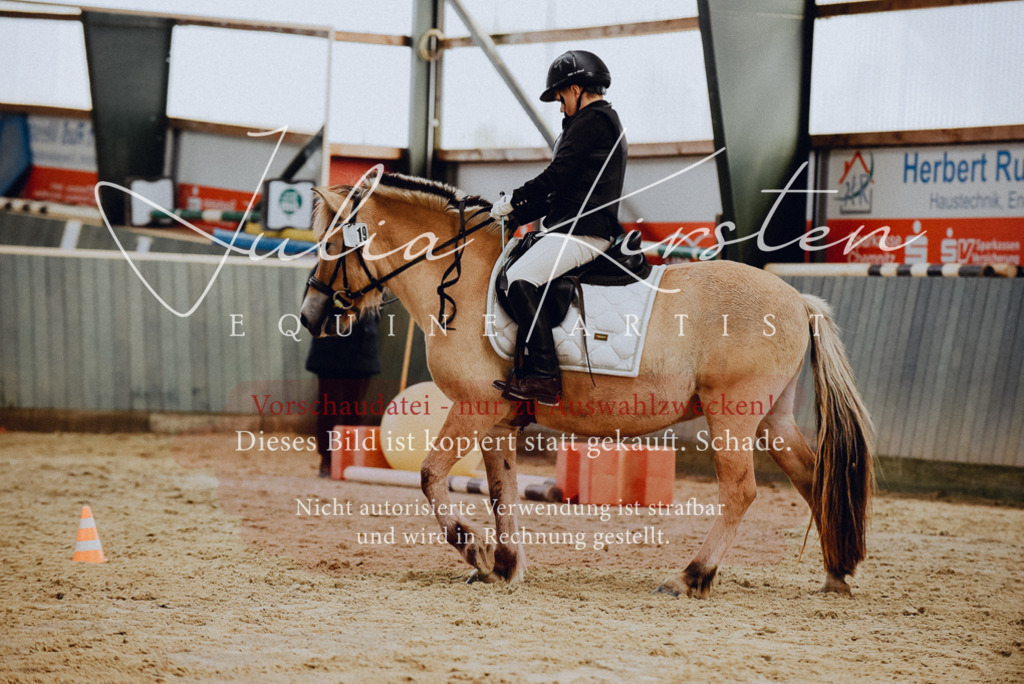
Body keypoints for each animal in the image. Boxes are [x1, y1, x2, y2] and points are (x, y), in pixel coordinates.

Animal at [299, 171, 874, 598]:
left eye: (330, 245)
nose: (309, 316)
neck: (464, 279)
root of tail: (798, 299)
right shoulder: (498, 419)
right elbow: (502, 491)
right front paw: (504, 564)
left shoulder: (472, 407)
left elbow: (429, 476)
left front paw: (475, 551)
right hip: (772, 417)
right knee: (812, 476)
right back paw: (836, 575)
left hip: (731, 413)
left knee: (741, 491)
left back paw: (690, 576)